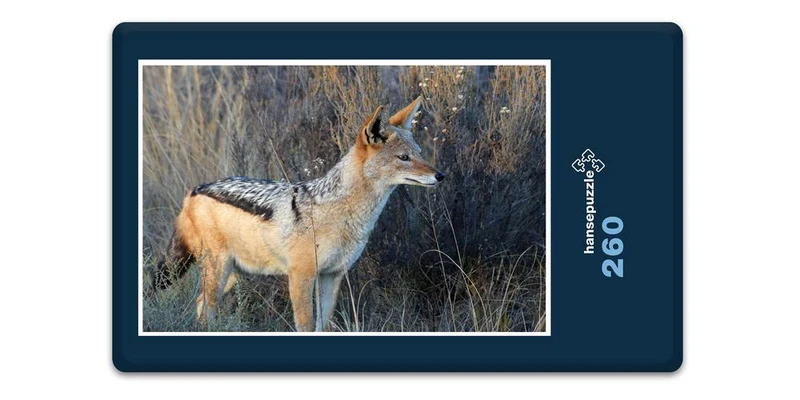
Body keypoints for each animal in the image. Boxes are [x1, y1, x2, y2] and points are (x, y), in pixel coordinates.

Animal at [152, 96, 445, 332]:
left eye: (419, 154)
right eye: (404, 158)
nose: (440, 175)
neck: (346, 216)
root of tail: (194, 190)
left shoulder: (332, 275)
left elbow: (323, 325)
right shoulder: (300, 276)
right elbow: (305, 325)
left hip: (230, 277)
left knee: (200, 305)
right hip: (218, 271)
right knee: (205, 314)